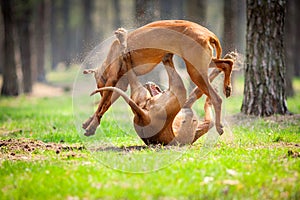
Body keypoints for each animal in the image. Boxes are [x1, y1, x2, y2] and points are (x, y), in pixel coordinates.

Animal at [82, 19, 234, 136]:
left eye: (98, 85)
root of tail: (208, 34)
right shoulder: (120, 85)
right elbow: (105, 105)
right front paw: (89, 123)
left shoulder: (113, 80)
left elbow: (102, 105)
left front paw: (91, 125)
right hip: (201, 63)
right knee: (227, 63)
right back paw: (227, 86)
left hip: (195, 71)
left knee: (216, 98)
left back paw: (219, 126)